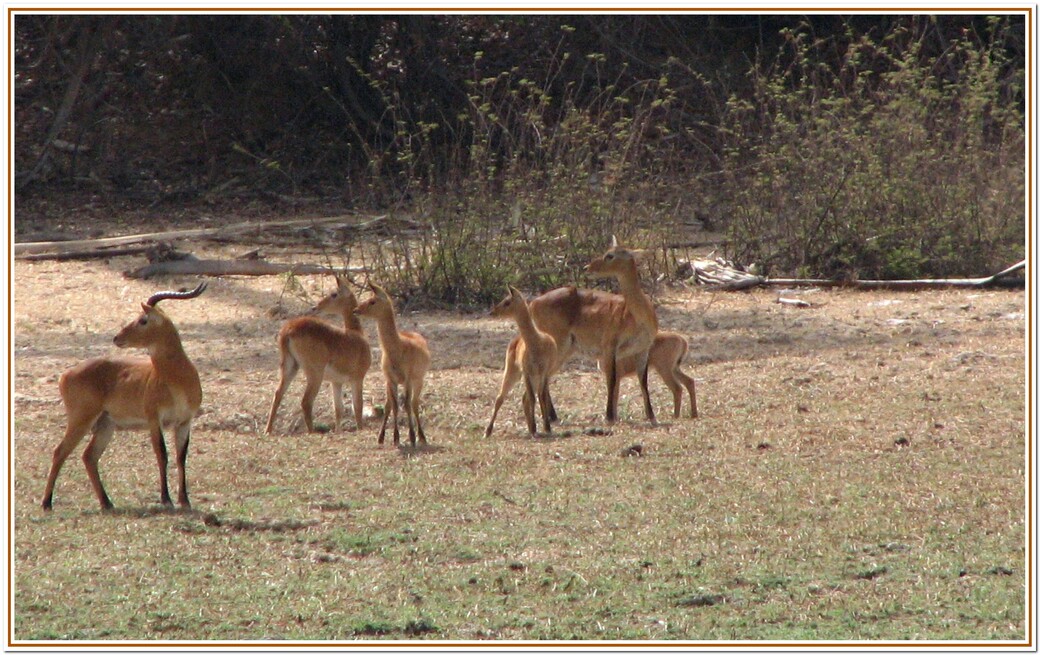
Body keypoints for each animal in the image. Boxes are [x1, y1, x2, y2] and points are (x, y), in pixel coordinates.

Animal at [41, 282, 206, 513]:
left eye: (143, 320)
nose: (117, 338)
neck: (175, 380)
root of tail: (66, 374)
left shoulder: (184, 422)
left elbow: (181, 457)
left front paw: (185, 501)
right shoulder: (154, 419)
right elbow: (161, 454)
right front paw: (166, 499)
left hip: (105, 425)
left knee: (89, 456)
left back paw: (107, 503)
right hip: (81, 420)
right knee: (60, 451)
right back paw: (47, 503)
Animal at [266, 276, 372, 436]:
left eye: (334, 293)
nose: (315, 307)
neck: (356, 334)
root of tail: (288, 329)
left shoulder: (336, 382)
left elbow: (338, 410)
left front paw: (338, 432)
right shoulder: (357, 379)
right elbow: (358, 407)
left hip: (290, 367)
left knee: (278, 394)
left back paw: (268, 430)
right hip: (315, 374)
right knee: (306, 401)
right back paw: (312, 432)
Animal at [351, 284, 428, 449]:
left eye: (373, 301)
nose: (356, 310)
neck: (398, 348)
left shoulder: (407, 380)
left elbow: (406, 405)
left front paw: (412, 438)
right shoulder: (391, 379)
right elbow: (394, 406)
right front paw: (395, 438)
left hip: (418, 381)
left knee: (414, 404)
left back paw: (422, 437)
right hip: (390, 383)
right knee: (389, 405)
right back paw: (381, 438)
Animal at [486, 286, 561, 436]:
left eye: (507, 301)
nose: (492, 312)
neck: (536, 343)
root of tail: (515, 340)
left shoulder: (543, 372)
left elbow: (541, 396)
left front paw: (546, 427)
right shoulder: (527, 372)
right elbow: (532, 398)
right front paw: (534, 428)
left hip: (535, 376)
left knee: (527, 397)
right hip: (513, 371)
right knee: (501, 397)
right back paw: (488, 431)